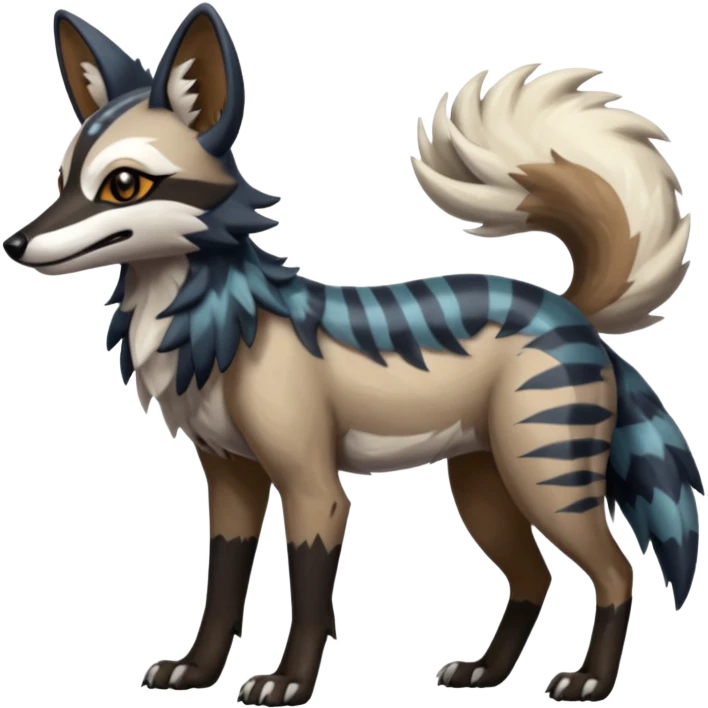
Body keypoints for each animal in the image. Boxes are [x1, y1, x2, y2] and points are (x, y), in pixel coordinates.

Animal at [3, 3, 701, 705]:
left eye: (123, 185)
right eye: (63, 181)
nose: (14, 245)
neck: (226, 329)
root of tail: (570, 309)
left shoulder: (315, 489)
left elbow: (310, 597)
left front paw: (289, 682)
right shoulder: (230, 479)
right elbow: (221, 590)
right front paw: (196, 673)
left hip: (545, 478)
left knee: (615, 573)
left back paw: (590, 680)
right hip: (484, 484)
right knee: (535, 577)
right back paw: (485, 672)